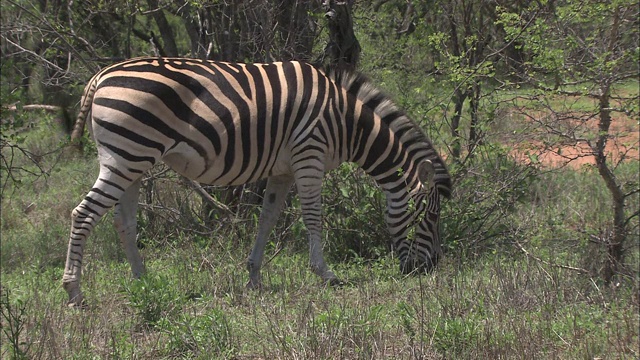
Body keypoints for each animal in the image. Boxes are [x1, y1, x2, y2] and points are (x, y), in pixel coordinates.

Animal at [61, 57, 450, 306]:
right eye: (429, 217)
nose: (429, 268)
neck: (347, 123)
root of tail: (102, 75)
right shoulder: (310, 154)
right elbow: (313, 217)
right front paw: (325, 274)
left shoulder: (283, 170)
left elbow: (268, 219)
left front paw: (254, 276)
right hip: (127, 154)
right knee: (83, 214)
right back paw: (75, 292)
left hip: (132, 160)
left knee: (123, 222)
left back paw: (144, 283)